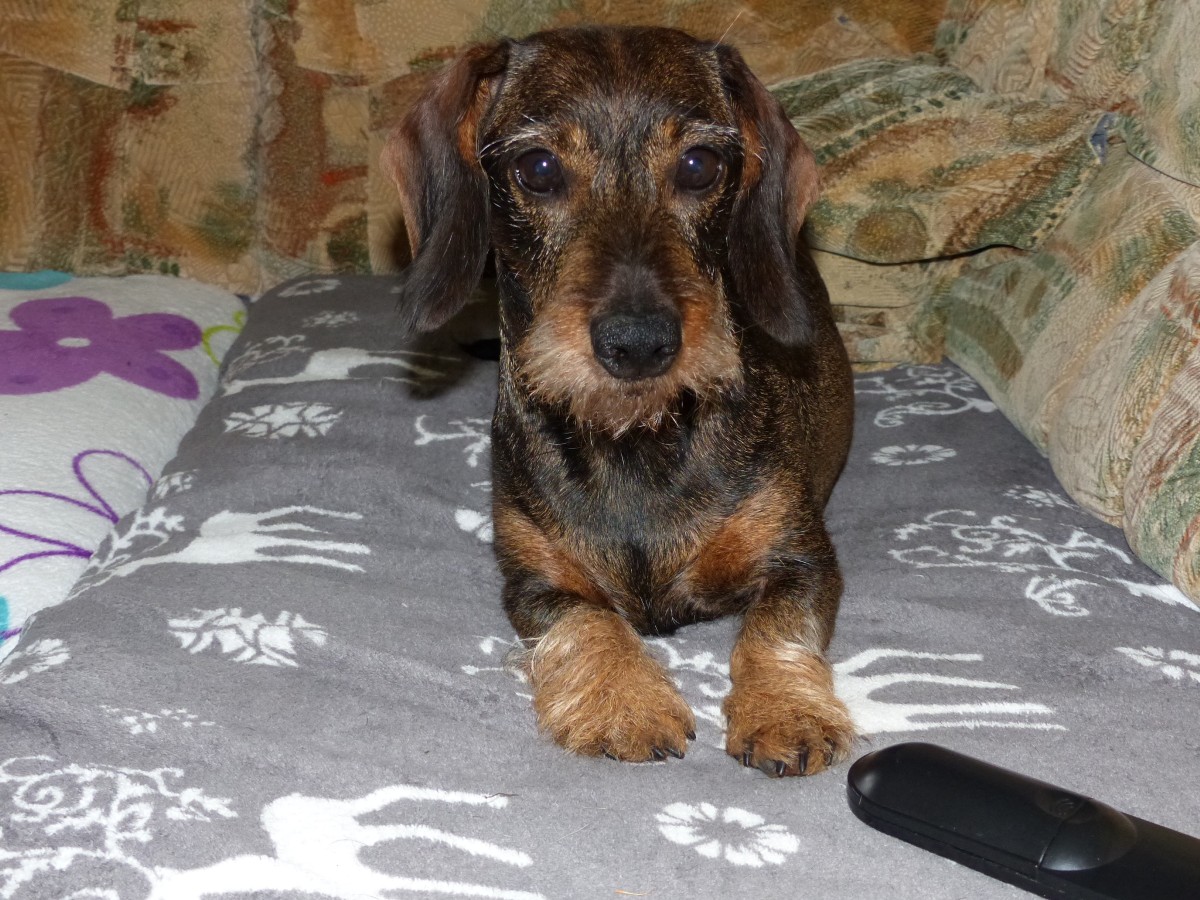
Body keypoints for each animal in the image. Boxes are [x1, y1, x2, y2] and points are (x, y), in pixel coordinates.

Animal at [384, 25, 855, 777]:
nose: (639, 344)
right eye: (539, 167)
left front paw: (787, 710)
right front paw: (622, 702)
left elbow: (776, 625)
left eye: (698, 164)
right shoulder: (535, 582)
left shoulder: (803, 559)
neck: (634, 441)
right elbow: (589, 619)